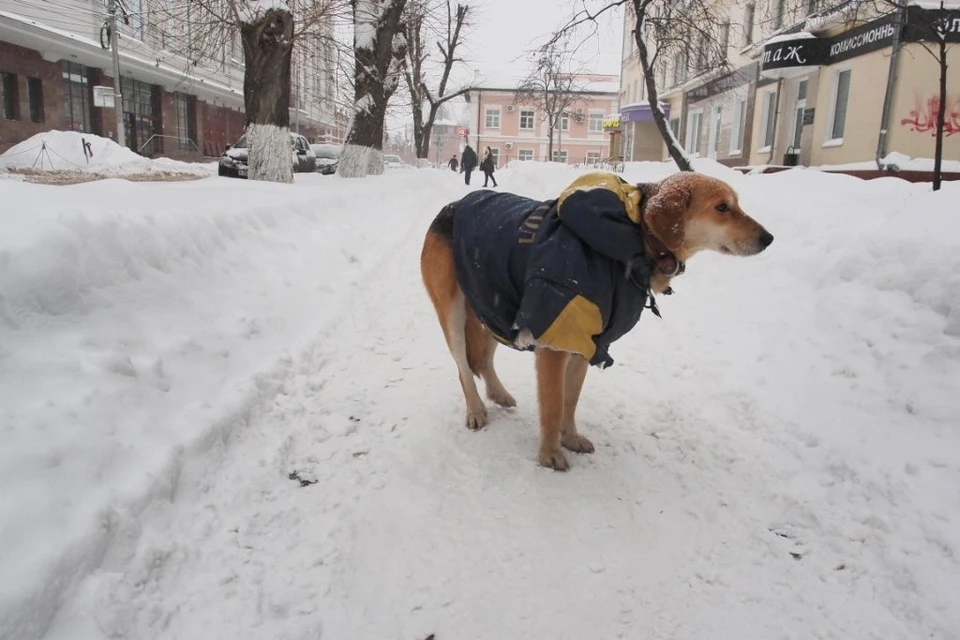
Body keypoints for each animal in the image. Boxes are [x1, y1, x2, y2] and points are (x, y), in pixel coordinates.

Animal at [420, 172, 772, 472]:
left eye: (736, 204)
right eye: (722, 207)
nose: (768, 238)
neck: (633, 240)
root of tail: (452, 207)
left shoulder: (587, 343)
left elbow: (570, 400)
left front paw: (570, 437)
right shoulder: (554, 338)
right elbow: (552, 404)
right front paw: (550, 454)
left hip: (495, 302)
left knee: (484, 356)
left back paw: (498, 394)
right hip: (454, 313)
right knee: (463, 366)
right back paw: (476, 409)